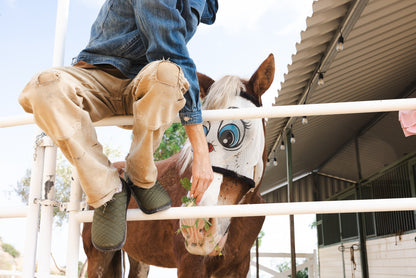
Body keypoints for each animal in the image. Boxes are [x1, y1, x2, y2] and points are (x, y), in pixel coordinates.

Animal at [82, 53, 274, 276]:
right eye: (202, 130)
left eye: (229, 135)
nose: (195, 225)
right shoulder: (191, 266)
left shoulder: (237, 268)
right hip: (98, 257)